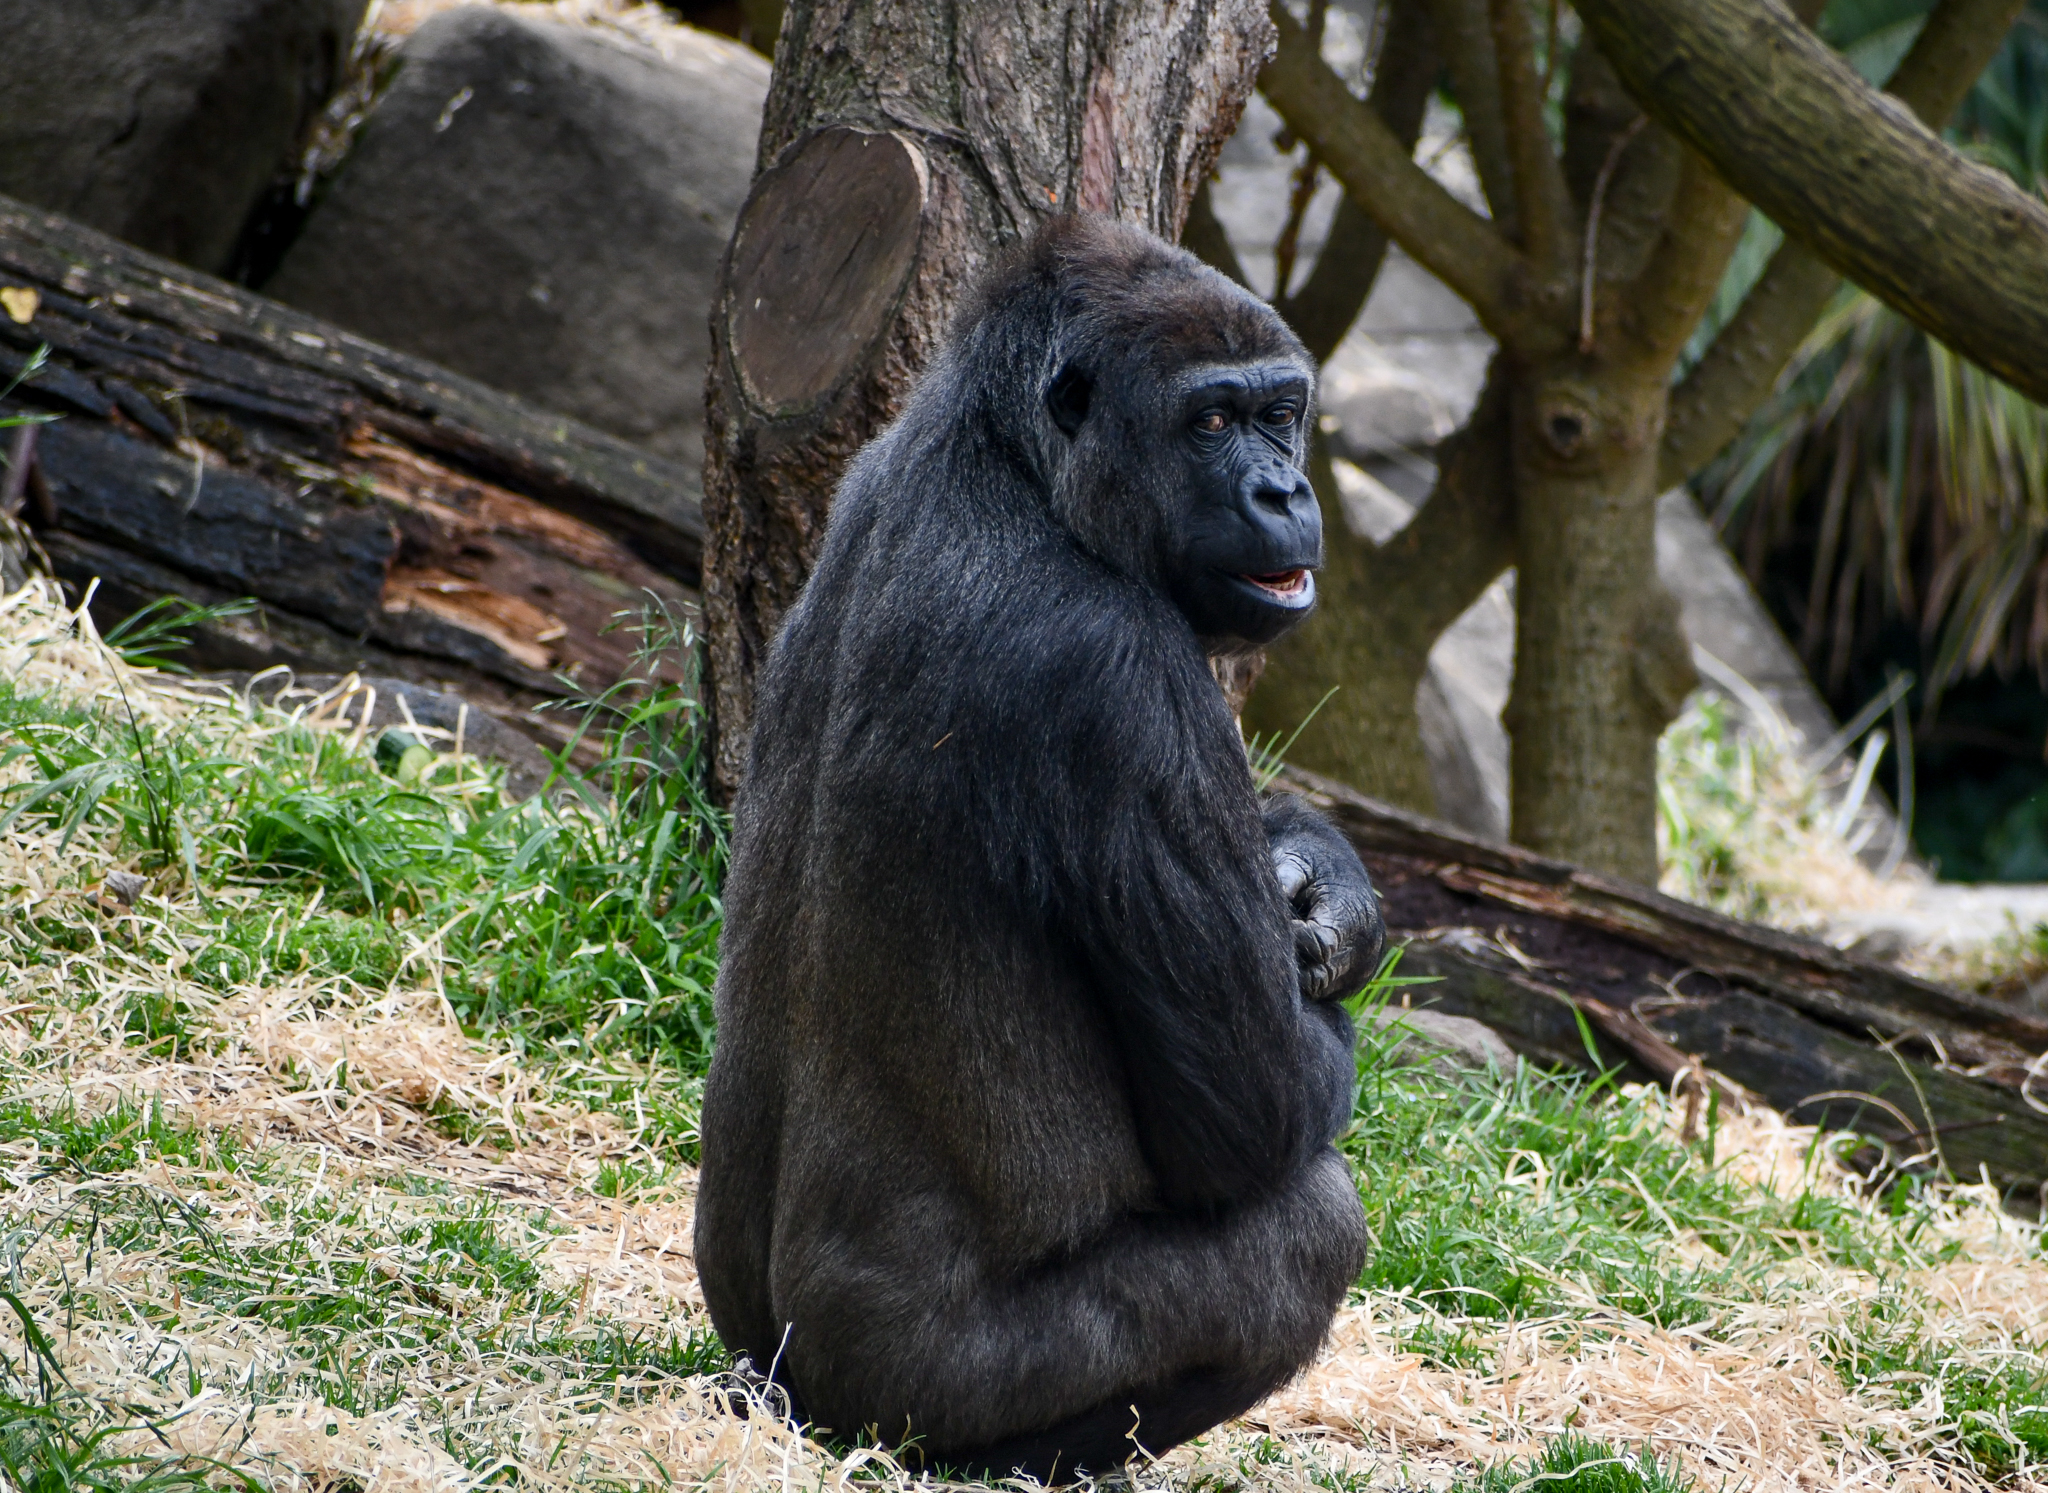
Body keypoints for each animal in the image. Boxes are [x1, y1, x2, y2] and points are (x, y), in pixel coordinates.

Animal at [694, 213, 1383, 1482]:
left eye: (1279, 411)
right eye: (1209, 421)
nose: (1282, 485)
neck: (1007, 463)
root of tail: (778, 1386)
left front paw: (1322, 880)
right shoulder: (1125, 672)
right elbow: (1258, 1114)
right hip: (901, 1398)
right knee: (1309, 1221)